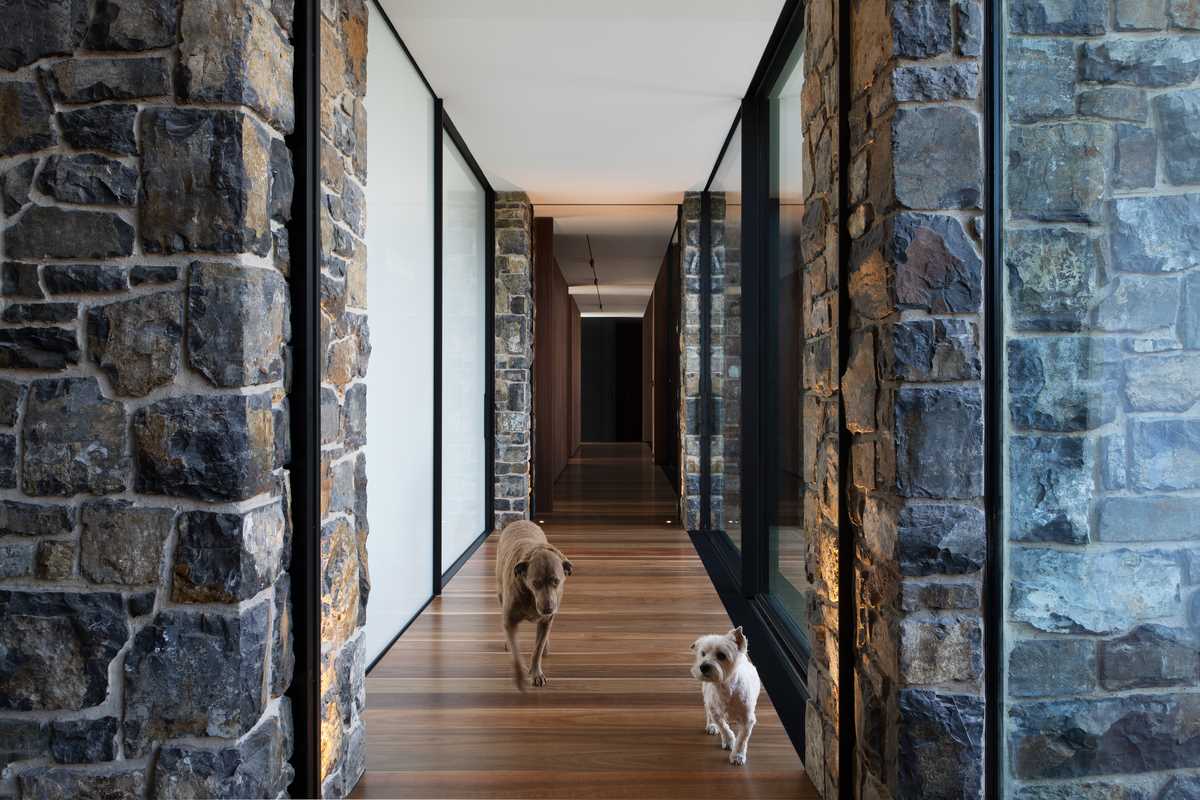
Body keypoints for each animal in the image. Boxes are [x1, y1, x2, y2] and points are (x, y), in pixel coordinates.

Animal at [494, 520, 573, 690]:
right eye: (535, 583)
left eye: (556, 581)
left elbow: (537, 649)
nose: (548, 608)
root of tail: (520, 520)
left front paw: (536, 673)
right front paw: (520, 675)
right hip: (500, 593)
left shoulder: (546, 620)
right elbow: (516, 653)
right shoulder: (510, 620)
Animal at [696, 628, 758, 767]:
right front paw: (729, 740)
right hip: (706, 696)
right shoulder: (715, 711)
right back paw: (711, 725)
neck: (725, 688)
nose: (703, 666)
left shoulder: (748, 719)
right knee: (708, 711)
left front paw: (738, 755)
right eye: (703, 653)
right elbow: (723, 727)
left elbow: (742, 739)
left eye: (721, 655)